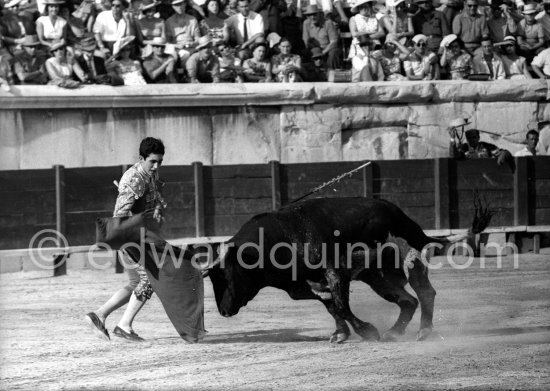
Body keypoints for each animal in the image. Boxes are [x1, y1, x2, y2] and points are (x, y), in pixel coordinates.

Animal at [209, 199, 494, 344]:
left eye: (229, 274)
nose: (223, 311)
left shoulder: (337, 273)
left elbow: (342, 306)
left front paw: (367, 331)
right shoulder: (308, 285)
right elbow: (333, 307)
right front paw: (341, 334)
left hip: (409, 260)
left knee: (425, 294)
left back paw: (423, 331)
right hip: (379, 279)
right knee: (408, 301)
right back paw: (394, 332)